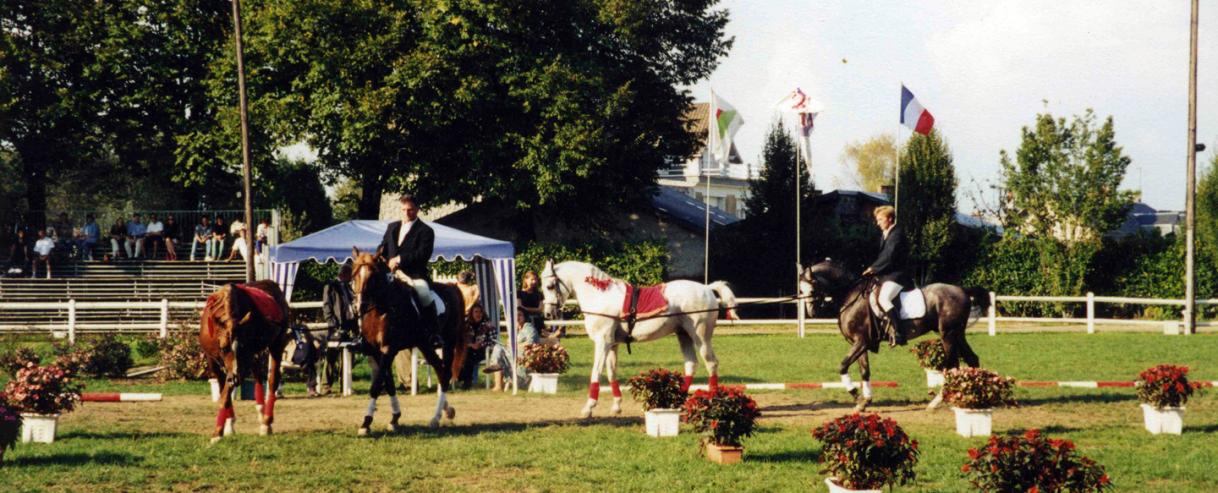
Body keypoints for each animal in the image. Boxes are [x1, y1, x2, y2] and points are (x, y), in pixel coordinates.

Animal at [202, 279, 294, 440]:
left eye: (243, 347)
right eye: (224, 348)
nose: (235, 377)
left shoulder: (243, 360)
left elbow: (226, 393)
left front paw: (217, 432)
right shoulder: (213, 360)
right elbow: (223, 389)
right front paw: (229, 423)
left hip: (277, 343)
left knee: (272, 379)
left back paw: (266, 422)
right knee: (257, 373)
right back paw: (260, 410)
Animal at [355, 245, 467, 430]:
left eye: (372, 277)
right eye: (354, 274)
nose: (359, 306)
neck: (382, 309)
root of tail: (453, 287)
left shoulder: (389, 349)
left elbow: (377, 385)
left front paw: (366, 422)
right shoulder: (377, 351)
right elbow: (388, 383)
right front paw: (394, 418)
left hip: (448, 343)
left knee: (445, 374)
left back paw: (436, 418)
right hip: (425, 345)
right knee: (440, 370)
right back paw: (446, 411)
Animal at [543, 259, 740, 416]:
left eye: (550, 286)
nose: (548, 313)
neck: (601, 295)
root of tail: (706, 288)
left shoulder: (602, 342)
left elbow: (596, 372)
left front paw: (588, 408)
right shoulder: (612, 344)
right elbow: (611, 372)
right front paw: (616, 406)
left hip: (701, 337)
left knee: (711, 363)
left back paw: (712, 399)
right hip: (684, 335)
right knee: (691, 365)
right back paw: (677, 401)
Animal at [799, 259, 989, 409]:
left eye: (812, 288)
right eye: (801, 290)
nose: (812, 312)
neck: (851, 296)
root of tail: (962, 290)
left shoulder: (861, 342)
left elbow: (843, 365)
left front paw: (856, 395)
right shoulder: (860, 343)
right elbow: (865, 371)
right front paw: (865, 401)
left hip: (948, 334)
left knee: (952, 365)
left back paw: (937, 402)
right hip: (957, 334)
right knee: (972, 359)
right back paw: (973, 396)